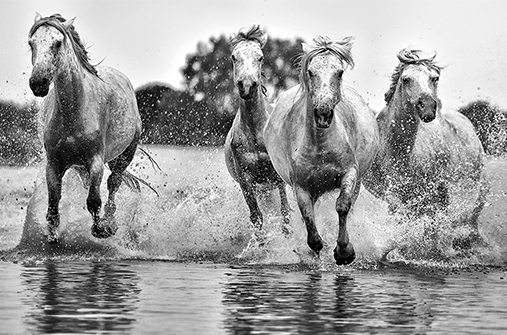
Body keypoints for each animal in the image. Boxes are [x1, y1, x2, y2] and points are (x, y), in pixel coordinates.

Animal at [28, 13, 142, 244]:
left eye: (58, 42)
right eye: (31, 43)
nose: (38, 83)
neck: (73, 111)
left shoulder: (95, 160)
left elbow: (94, 200)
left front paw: (102, 229)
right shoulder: (54, 163)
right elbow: (53, 203)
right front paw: (52, 234)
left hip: (125, 153)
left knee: (113, 182)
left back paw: (111, 221)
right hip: (80, 166)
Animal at [225, 25, 292, 239]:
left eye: (260, 57)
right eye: (234, 56)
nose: (247, 85)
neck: (256, 133)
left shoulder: (278, 177)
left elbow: (285, 213)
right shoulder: (246, 180)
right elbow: (256, 217)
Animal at [364, 47, 486, 244]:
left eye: (434, 78)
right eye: (406, 79)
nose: (428, 107)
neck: (398, 152)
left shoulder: (425, 192)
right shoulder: (390, 194)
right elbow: (403, 215)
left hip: (473, 181)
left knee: (472, 211)